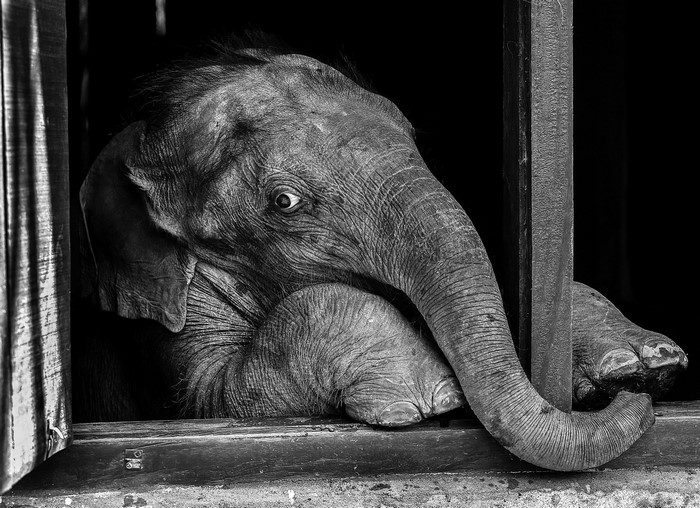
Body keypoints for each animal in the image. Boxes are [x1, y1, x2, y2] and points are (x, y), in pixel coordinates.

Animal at [76, 40, 688, 471]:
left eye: (415, 138)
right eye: (284, 201)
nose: (633, 399)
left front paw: (638, 364)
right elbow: (212, 396)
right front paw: (427, 394)